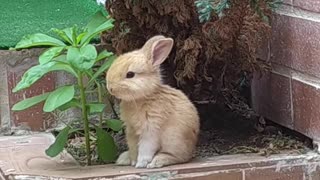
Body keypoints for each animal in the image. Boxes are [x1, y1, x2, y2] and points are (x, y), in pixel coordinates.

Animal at [106, 35, 199, 169]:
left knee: (179, 157)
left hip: (174, 140)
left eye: (130, 74)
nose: (110, 88)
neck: (142, 97)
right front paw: (133, 161)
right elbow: (134, 148)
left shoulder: (150, 130)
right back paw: (124, 159)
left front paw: (140, 164)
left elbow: (146, 148)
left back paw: (157, 161)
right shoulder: (131, 131)